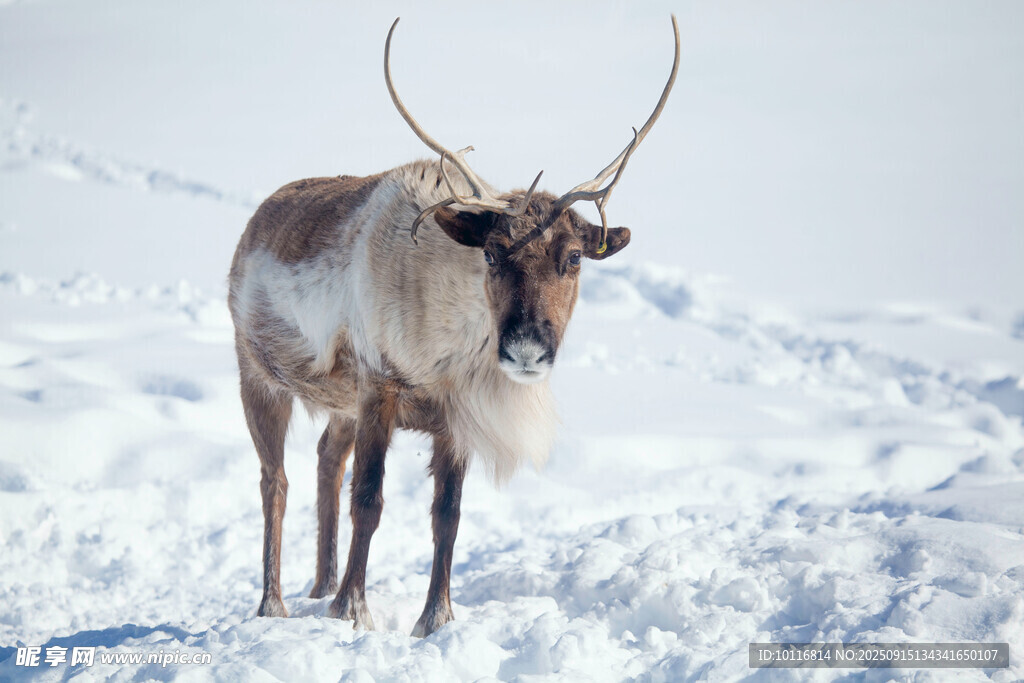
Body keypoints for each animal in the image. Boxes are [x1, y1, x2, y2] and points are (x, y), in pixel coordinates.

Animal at [227, 16, 679, 637]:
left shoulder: (453, 417)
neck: (452, 345)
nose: (526, 348)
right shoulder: (379, 387)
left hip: (337, 404)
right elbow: (369, 501)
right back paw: (276, 604)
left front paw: (435, 619)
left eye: (573, 258)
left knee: (324, 460)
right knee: (275, 482)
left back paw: (319, 586)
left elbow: (448, 514)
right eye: (490, 253)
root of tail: (252, 226)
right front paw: (353, 612)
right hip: (258, 376)